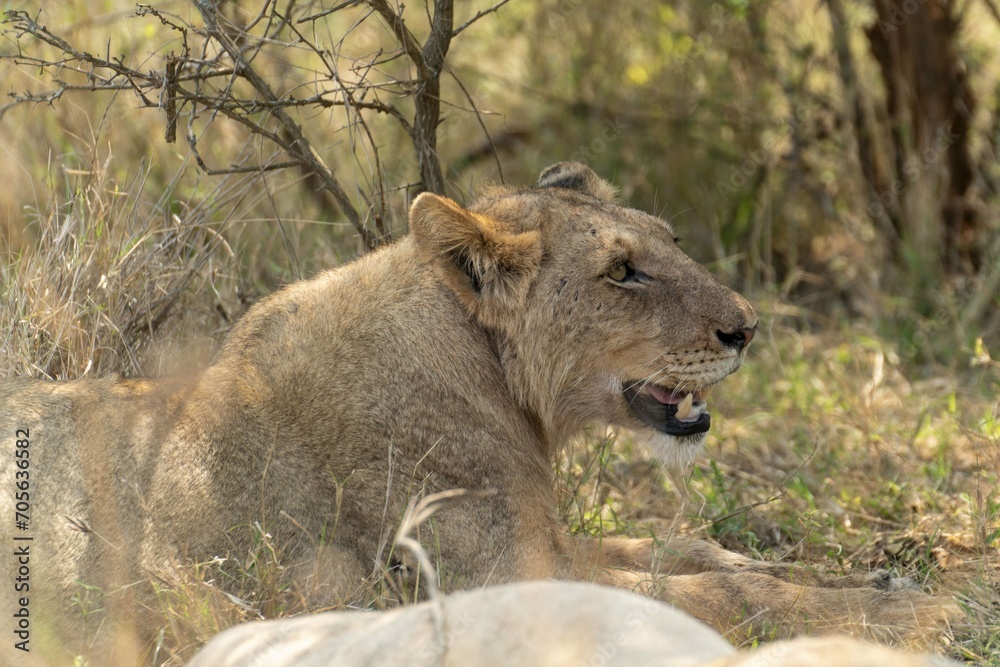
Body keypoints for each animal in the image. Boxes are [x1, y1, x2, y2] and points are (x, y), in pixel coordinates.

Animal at [0, 163, 951, 665]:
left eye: (671, 240)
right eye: (622, 273)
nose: (747, 327)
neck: (497, 383)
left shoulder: (548, 539)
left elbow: (687, 549)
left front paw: (877, 580)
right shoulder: (502, 576)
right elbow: (720, 592)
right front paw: (922, 618)